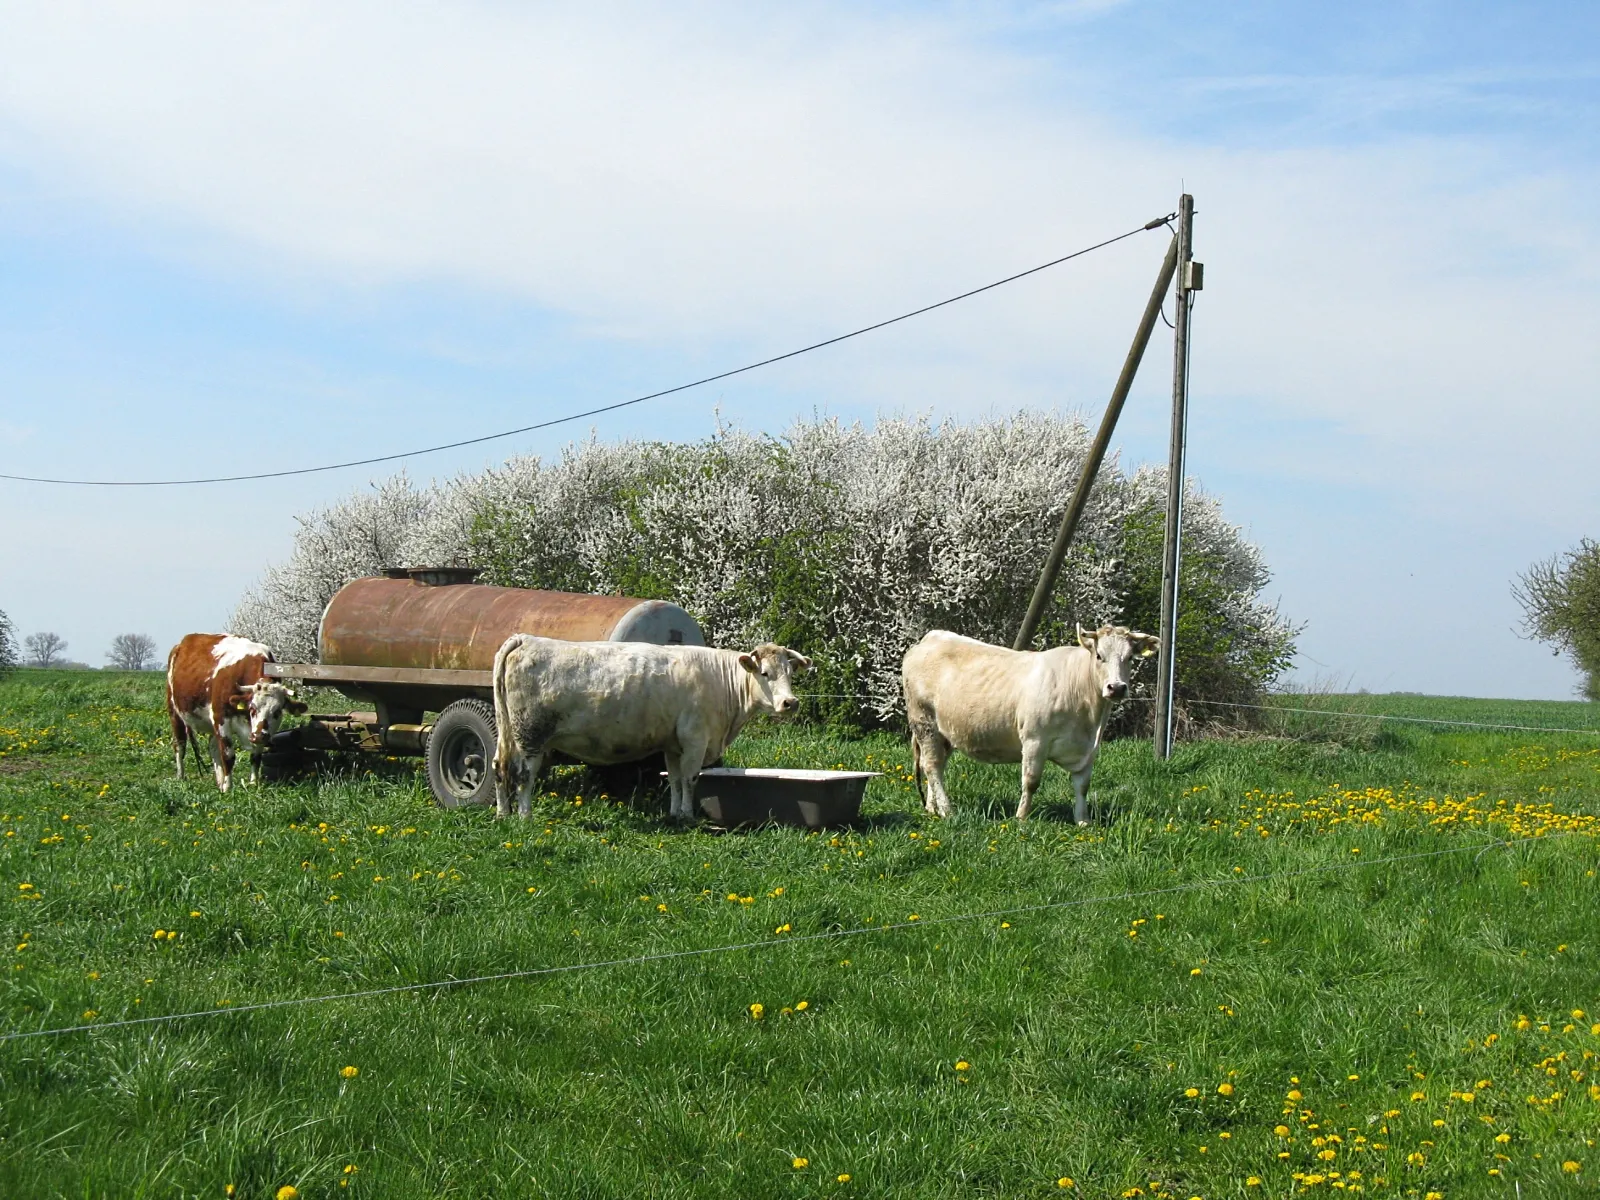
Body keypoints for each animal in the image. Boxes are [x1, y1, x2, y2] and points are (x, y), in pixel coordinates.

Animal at [165, 633, 305, 793]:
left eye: (277, 711)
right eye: (252, 708)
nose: (259, 736)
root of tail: (183, 642)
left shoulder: (256, 732)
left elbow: (256, 756)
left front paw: (253, 784)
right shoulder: (221, 719)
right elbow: (228, 756)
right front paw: (228, 788)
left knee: (213, 747)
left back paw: (219, 781)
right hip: (174, 712)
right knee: (180, 745)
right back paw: (181, 777)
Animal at [486, 633, 812, 825]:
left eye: (790, 673)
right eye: (765, 673)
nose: (790, 703)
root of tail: (525, 639)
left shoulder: (673, 744)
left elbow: (675, 780)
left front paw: (675, 813)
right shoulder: (695, 738)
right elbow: (691, 779)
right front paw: (688, 816)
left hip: (509, 731)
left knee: (499, 767)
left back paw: (503, 814)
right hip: (531, 734)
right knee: (524, 774)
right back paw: (525, 817)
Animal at [908, 624, 1158, 825]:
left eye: (1130, 657)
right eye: (1099, 656)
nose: (1116, 688)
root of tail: (931, 637)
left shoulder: (1089, 749)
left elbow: (1082, 786)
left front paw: (1083, 821)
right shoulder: (1034, 740)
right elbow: (1031, 782)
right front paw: (1021, 818)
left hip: (945, 732)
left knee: (936, 766)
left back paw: (932, 808)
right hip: (924, 722)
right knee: (931, 765)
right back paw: (947, 810)